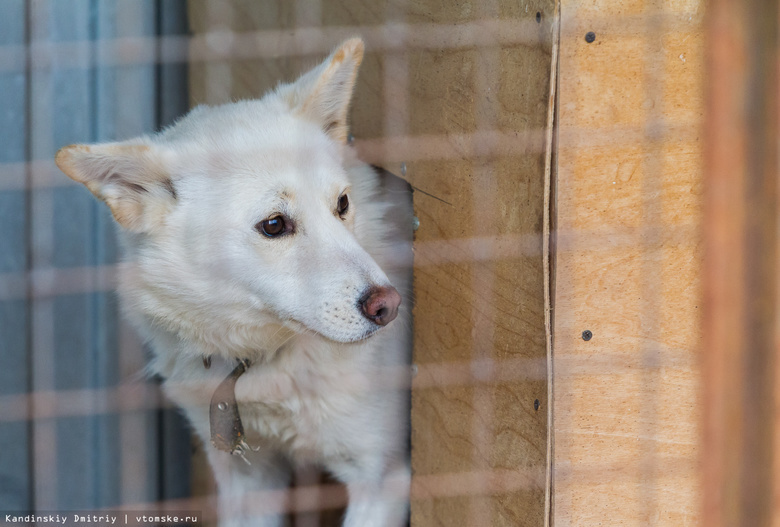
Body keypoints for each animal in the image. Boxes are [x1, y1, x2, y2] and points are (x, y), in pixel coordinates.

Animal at [55, 38, 414, 527]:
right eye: (274, 225)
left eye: (342, 204)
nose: (388, 305)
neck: (259, 358)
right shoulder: (248, 480)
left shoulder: (382, 478)